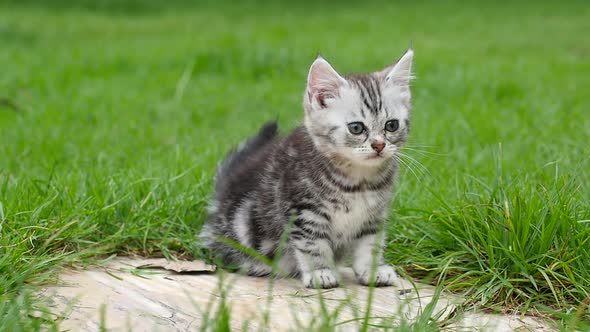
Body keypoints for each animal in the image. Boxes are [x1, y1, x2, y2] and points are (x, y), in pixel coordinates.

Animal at [204, 49, 416, 288]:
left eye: (391, 125)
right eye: (356, 128)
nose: (379, 145)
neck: (357, 181)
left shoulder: (374, 215)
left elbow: (370, 244)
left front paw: (372, 270)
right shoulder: (303, 211)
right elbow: (312, 244)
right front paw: (320, 273)